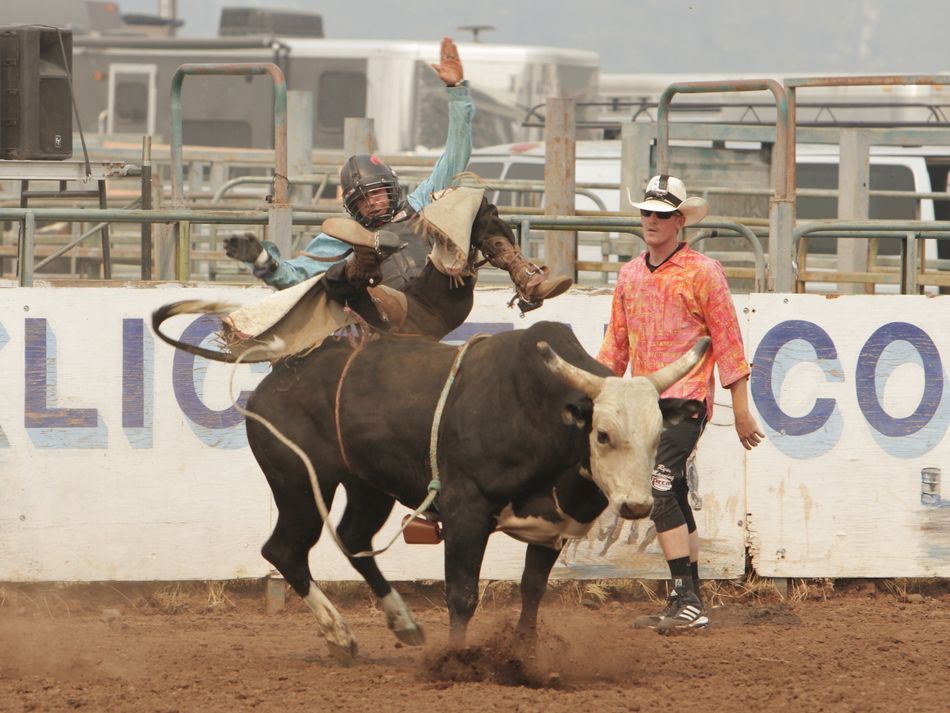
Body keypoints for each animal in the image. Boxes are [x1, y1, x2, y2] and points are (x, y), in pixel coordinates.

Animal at [153, 305, 708, 658]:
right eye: (604, 433)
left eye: (658, 435)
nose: (636, 506)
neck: (541, 415)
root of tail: (277, 375)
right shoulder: (466, 514)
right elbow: (462, 594)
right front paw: (455, 663)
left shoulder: (550, 530)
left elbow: (531, 593)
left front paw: (523, 657)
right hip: (298, 485)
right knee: (285, 551)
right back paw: (340, 636)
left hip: (367, 487)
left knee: (353, 539)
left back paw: (404, 623)